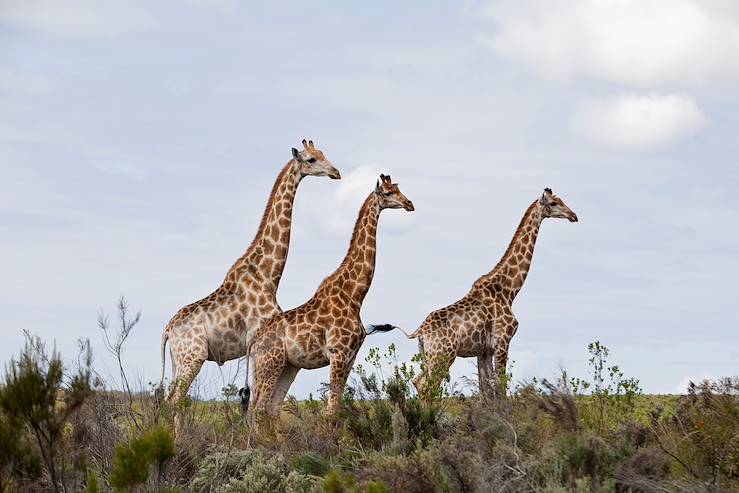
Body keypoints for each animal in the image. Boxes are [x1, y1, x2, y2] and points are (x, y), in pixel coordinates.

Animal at [160, 138, 342, 412]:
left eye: (323, 153)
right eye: (311, 159)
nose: (336, 172)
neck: (268, 276)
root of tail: (168, 330)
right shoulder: (258, 340)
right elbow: (255, 400)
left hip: (178, 361)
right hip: (192, 357)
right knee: (174, 401)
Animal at [250, 173, 416, 416]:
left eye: (398, 188)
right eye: (388, 193)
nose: (409, 204)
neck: (354, 296)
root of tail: (254, 342)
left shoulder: (350, 357)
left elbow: (337, 407)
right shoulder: (338, 353)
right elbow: (331, 410)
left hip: (288, 366)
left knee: (271, 408)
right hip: (269, 363)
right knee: (258, 409)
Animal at [370, 186, 580, 398]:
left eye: (561, 200)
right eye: (554, 203)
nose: (574, 215)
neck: (509, 290)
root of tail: (420, 331)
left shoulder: (484, 350)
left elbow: (485, 390)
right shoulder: (502, 343)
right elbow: (500, 388)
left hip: (428, 356)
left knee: (419, 382)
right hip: (443, 355)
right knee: (428, 386)